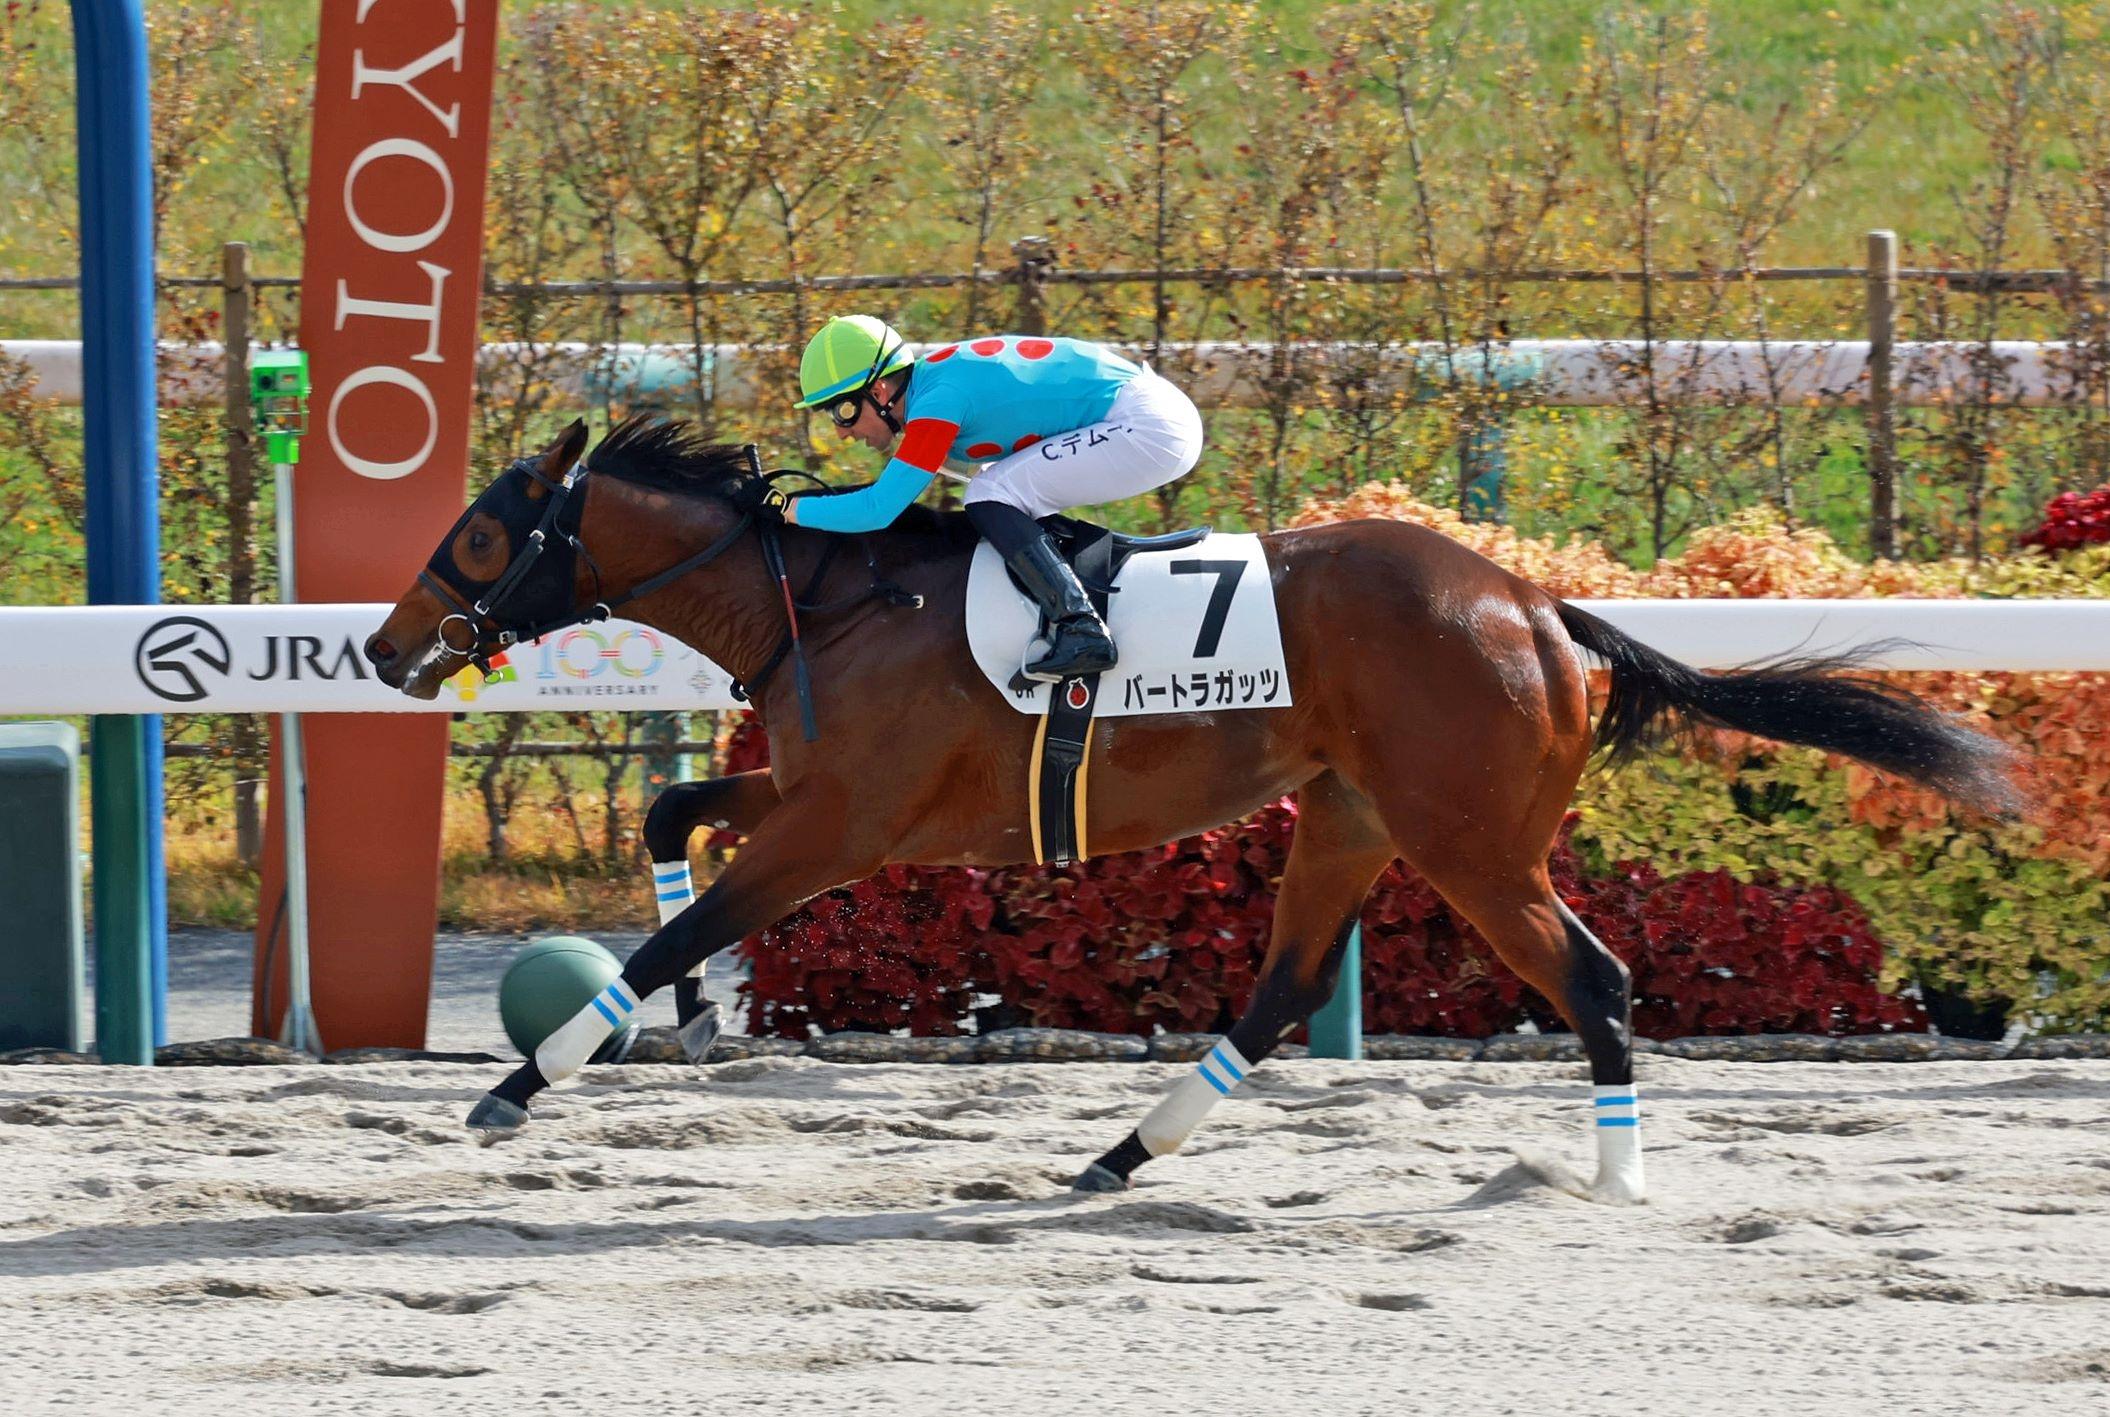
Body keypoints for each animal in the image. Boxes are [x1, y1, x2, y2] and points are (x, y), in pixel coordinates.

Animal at [364, 416, 2021, 1203]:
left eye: (479, 536)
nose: (383, 650)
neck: (824, 597)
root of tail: (1537, 606)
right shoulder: (827, 795)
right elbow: (665, 820)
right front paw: (694, 1020)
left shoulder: (843, 828)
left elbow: (678, 917)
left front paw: (523, 1080)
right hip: (1351, 817)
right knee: (1281, 990)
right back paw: (1117, 1156)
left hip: (1465, 837)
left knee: (1597, 980)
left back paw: (1609, 1182)